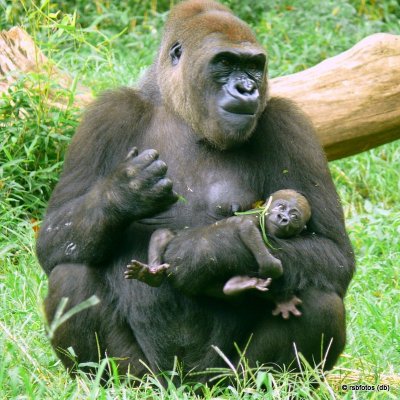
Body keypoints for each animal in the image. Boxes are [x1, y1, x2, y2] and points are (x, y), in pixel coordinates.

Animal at [123, 190, 310, 318]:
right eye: (281, 206)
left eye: (294, 216)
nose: (283, 217)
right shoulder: (256, 217)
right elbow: (246, 227)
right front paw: (271, 266)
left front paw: (283, 300)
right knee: (162, 234)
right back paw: (151, 274)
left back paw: (235, 286)